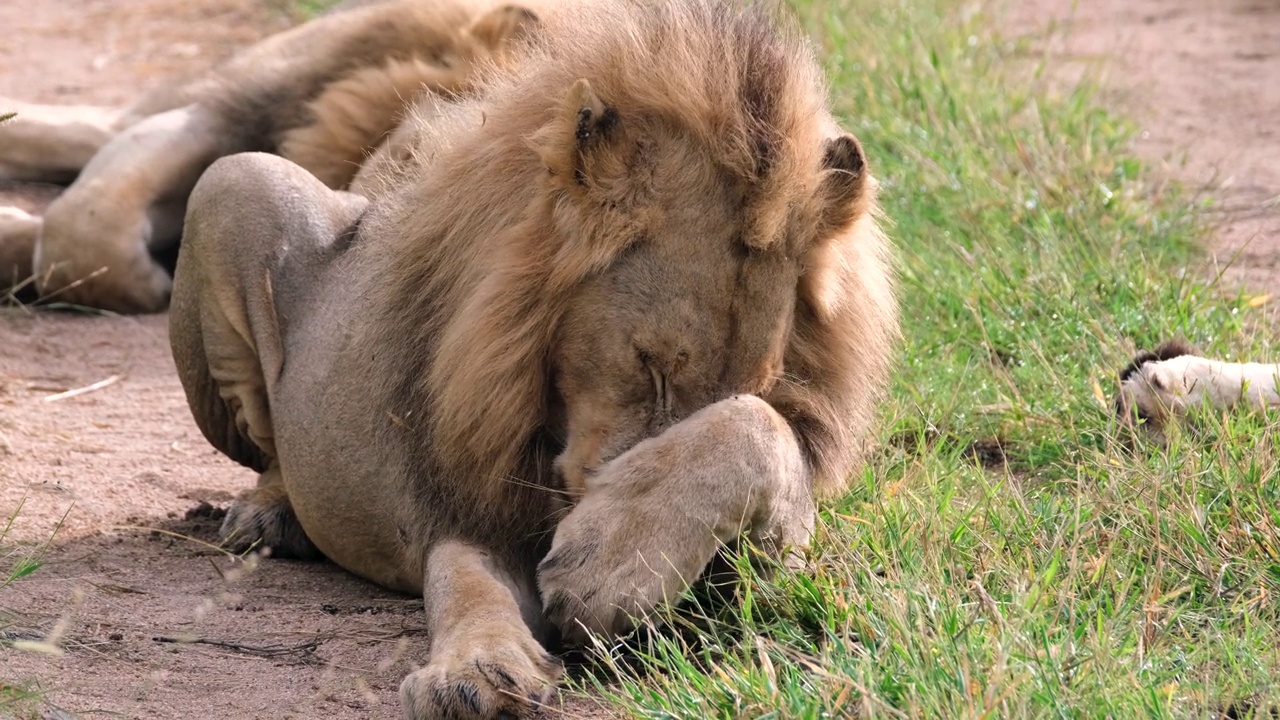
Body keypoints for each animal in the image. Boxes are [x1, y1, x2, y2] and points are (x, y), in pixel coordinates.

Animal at [167, 1, 901, 717]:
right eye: (651, 365)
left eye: (756, 381)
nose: (711, 580)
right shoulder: (461, 509)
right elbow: (466, 584)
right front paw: (478, 669)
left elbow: (760, 430)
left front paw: (616, 562)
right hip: (234, 181)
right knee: (271, 444)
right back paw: (269, 513)